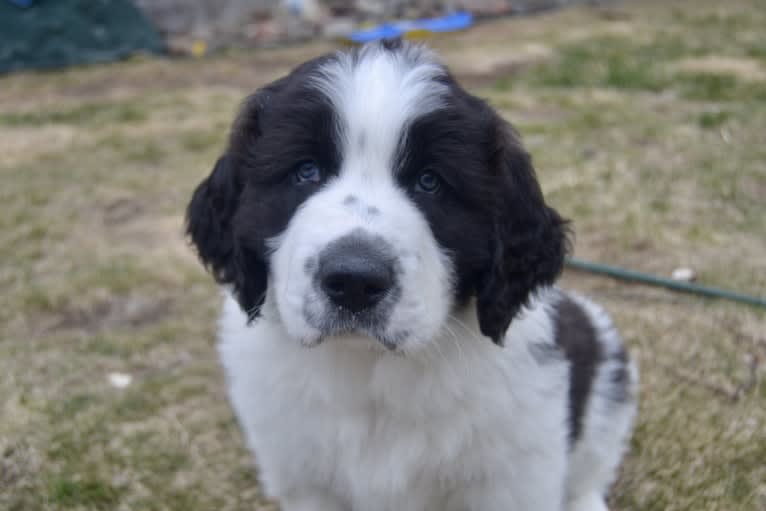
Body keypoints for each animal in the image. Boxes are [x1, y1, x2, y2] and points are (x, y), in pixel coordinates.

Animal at [189, 40, 640, 511]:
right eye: (305, 171)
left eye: (430, 181)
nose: (354, 281)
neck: (370, 368)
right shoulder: (305, 480)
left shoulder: (514, 476)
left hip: (608, 384)